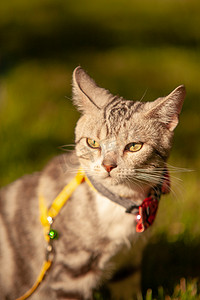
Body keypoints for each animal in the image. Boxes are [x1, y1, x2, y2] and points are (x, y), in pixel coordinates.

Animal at [0, 67, 186, 298]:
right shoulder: (70, 275)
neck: (119, 201)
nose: (108, 165)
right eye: (93, 143)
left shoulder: (128, 265)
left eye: (134, 146)